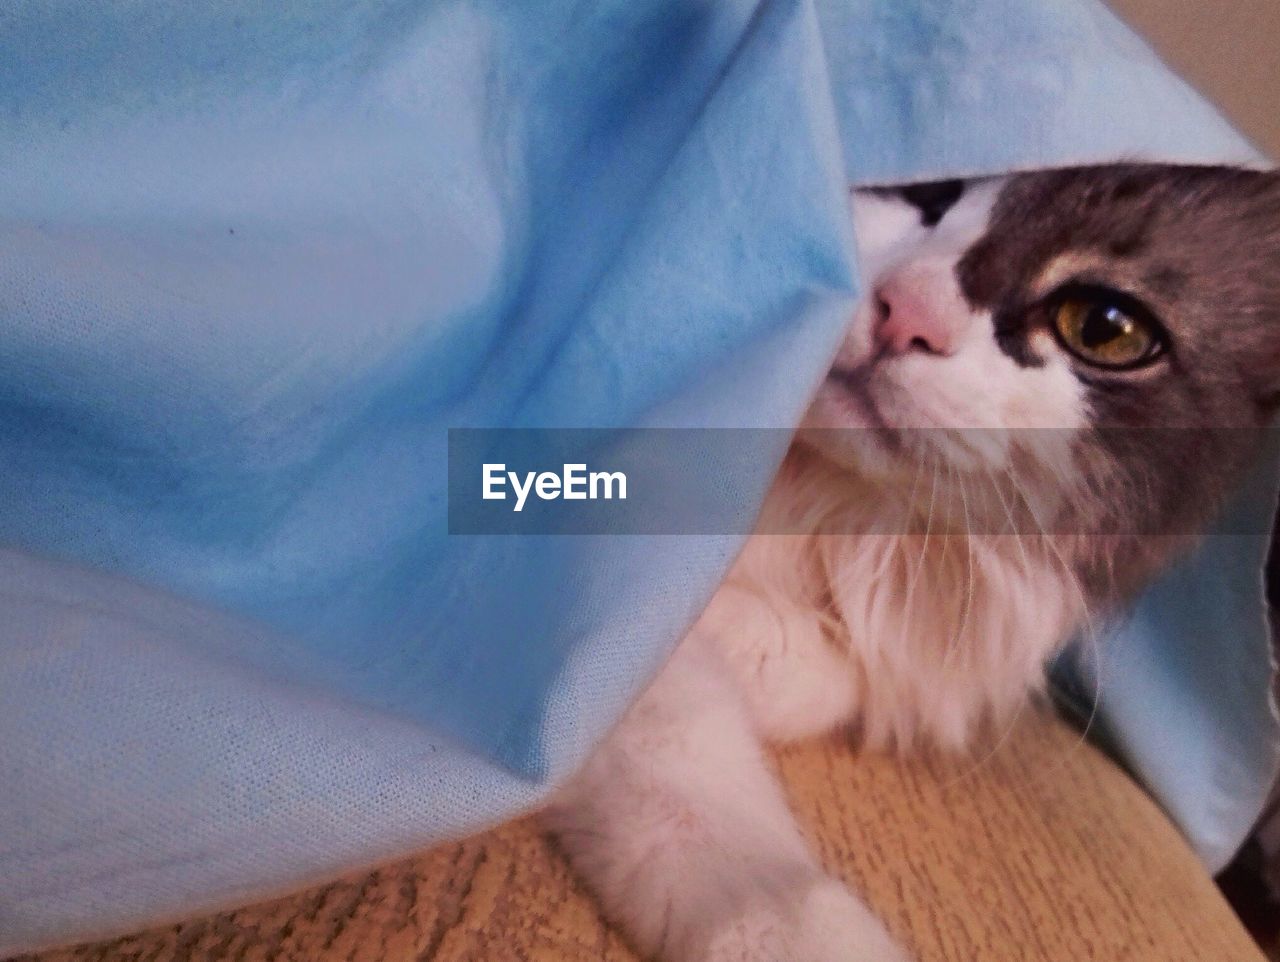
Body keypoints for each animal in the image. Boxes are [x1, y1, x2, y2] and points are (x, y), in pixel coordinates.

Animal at [545, 167, 1280, 961]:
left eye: (1105, 327)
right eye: (929, 187)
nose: (907, 313)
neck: (823, 508)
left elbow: (835, 669)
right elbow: (684, 777)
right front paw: (799, 930)